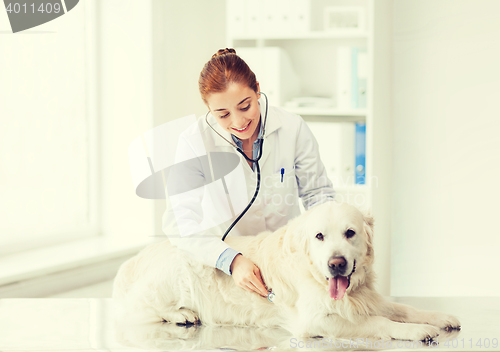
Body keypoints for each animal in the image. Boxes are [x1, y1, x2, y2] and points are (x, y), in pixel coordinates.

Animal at [113, 202, 460, 342]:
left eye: (350, 233)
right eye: (319, 236)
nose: (336, 264)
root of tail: (136, 257)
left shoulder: (366, 298)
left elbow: (403, 308)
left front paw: (439, 318)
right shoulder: (317, 320)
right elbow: (378, 323)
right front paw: (417, 331)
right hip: (175, 274)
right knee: (141, 308)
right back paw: (182, 314)